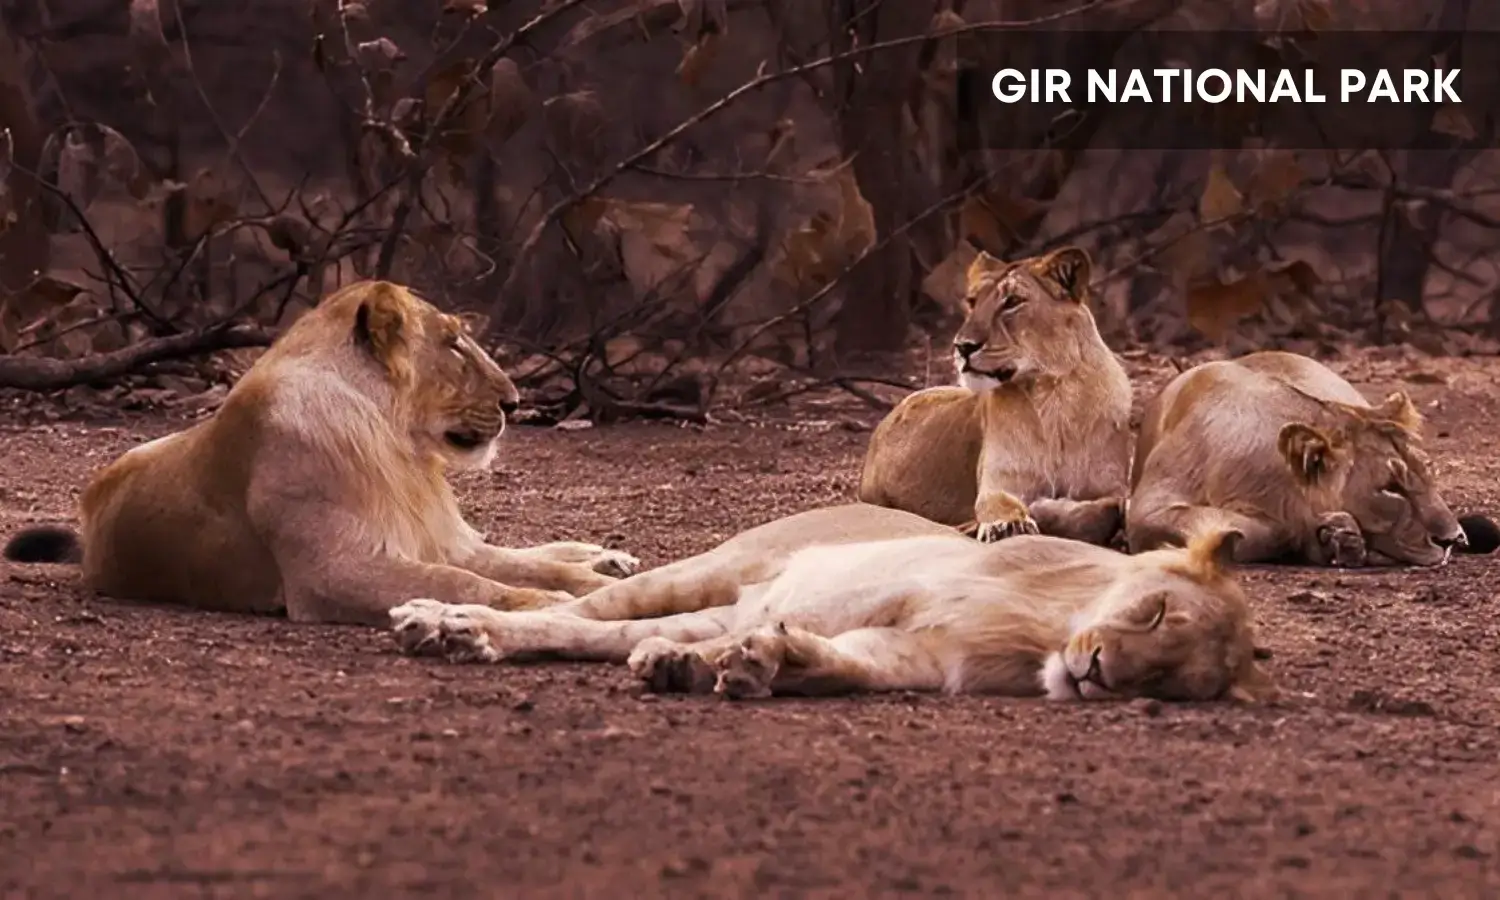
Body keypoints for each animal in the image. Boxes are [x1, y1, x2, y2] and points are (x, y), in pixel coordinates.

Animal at [2, 280, 639, 625]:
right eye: (454, 344)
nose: (514, 401)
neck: (399, 446)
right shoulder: (332, 572)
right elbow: (462, 582)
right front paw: (542, 601)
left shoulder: (430, 537)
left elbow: (529, 562)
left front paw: (595, 583)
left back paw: (606, 556)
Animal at [858, 246, 1132, 548]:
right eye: (972, 301)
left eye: (1012, 302)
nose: (962, 346)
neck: (1053, 397)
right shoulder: (997, 483)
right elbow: (1001, 506)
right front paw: (1009, 524)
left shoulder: (1111, 486)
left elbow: (1104, 511)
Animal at [1126, 350, 1498, 566]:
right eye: (1390, 488)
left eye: (1428, 474)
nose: (1454, 539)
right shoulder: (1147, 511)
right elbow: (1261, 530)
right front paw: (1332, 534)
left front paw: (1333, 536)